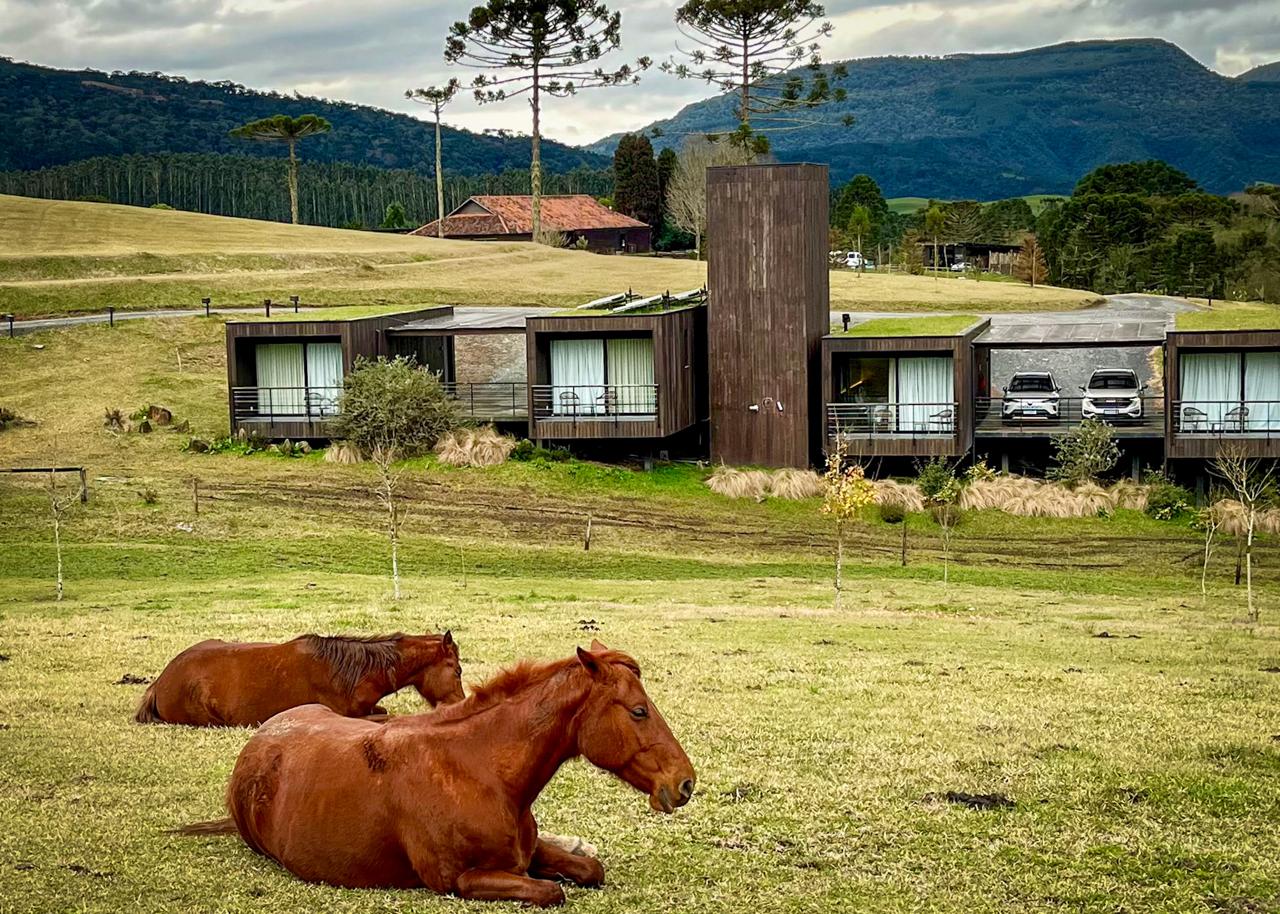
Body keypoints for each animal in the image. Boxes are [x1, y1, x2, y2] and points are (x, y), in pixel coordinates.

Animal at [183, 640, 691, 906]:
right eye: (639, 711)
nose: (684, 783)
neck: (480, 770)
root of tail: (257, 743)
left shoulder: (525, 853)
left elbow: (590, 869)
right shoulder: (461, 880)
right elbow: (551, 892)